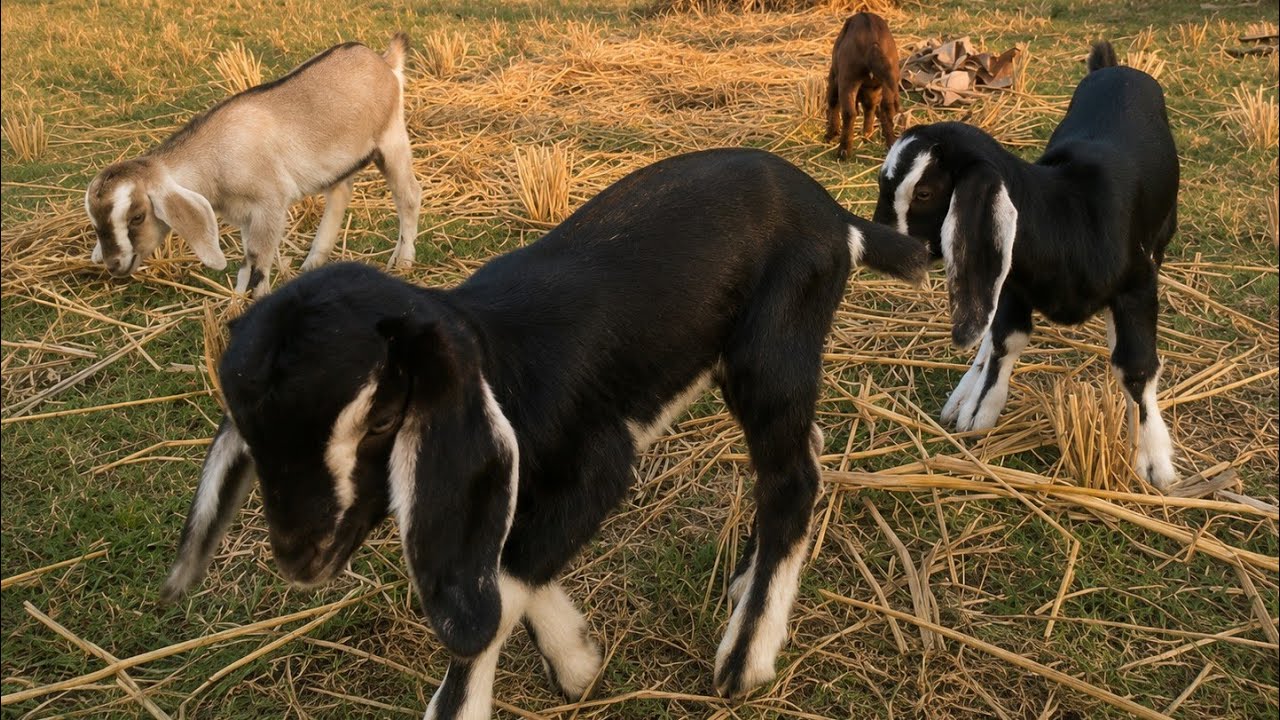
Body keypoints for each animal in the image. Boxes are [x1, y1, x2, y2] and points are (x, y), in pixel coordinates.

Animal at [84, 34, 420, 297]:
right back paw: (314, 261)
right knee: (340, 192)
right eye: (95, 220)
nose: (114, 264)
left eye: (138, 216)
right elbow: (247, 264)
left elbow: (257, 265)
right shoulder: (245, 217)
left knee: (408, 195)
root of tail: (384, 61)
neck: (217, 156)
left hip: (391, 137)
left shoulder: (269, 204)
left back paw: (403, 260)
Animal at [160, 148, 928, 719]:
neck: (502, 362)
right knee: (805, 451)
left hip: (771, 347)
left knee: (794, 477)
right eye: (251, 435)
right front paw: (579, 659)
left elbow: (504, 582)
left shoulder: (600, 464)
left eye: (380, 419)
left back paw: (747, 654)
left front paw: (538, 673)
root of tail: (833, 215)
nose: (299, 556)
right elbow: (509, 564)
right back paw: (744, 584)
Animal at [825, 12, 902, 159]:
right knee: (886, 110)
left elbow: (833, 104)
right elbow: (870, 109)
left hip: (847, 80)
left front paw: (831, 134)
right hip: (889, 81)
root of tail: (872, 41)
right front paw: (867, 136)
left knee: (849, 112)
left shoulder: (835, 77)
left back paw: (843, 152)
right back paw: (890, 144)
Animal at [872, 41, 1181, 489]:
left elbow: (1136, 366)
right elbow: (1005, 341)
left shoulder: (1137, 287)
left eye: (925, 192)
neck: (1071, 214)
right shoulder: (1013, 286)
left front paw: (1153, 457)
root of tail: (1113, 68)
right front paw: (979, 409)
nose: (880, 243)